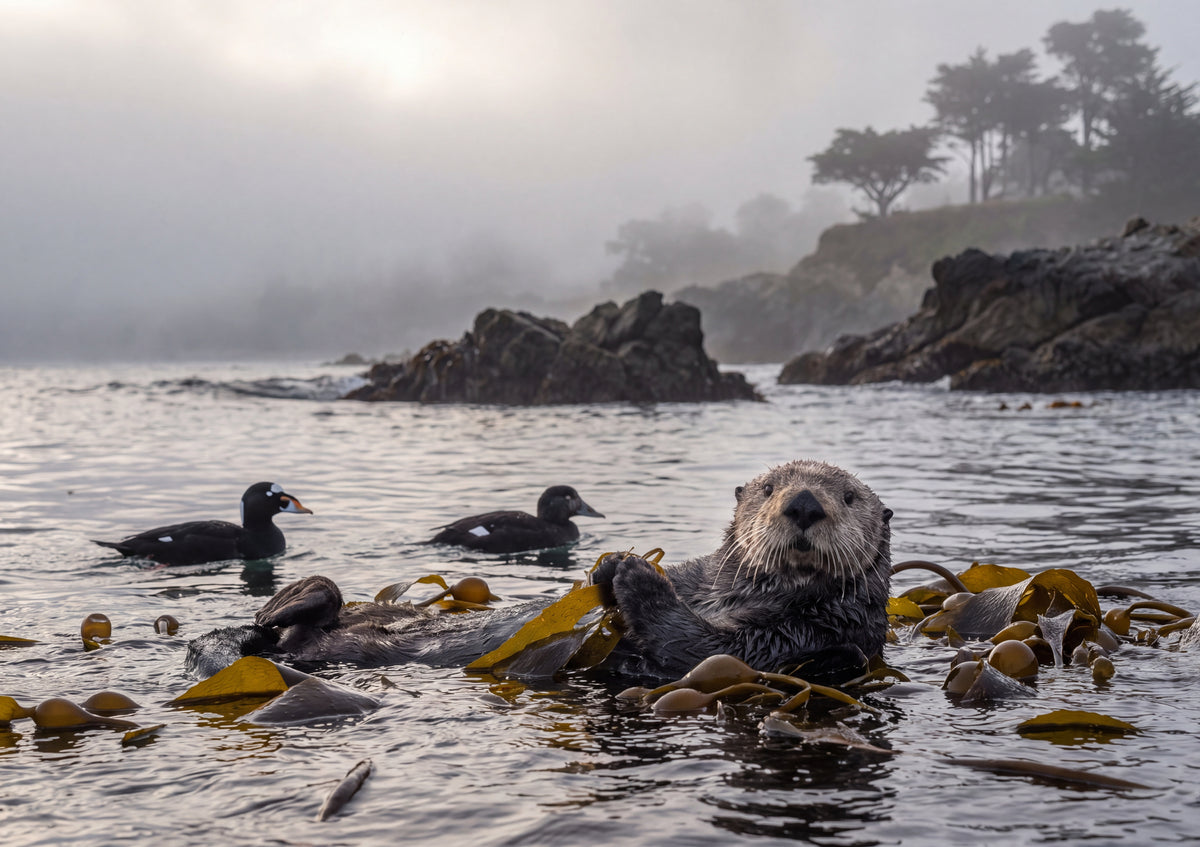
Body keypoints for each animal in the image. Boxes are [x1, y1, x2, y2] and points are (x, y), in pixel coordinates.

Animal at [187, 460, 892, 682]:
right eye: (770, 488)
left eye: (849, 497)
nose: (804, 505)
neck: (729, 589)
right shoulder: (703, 574)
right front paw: (610, 565)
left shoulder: (800, 637)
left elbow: (697, 649)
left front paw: (635, 576)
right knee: (307, 610)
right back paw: (291, 600)